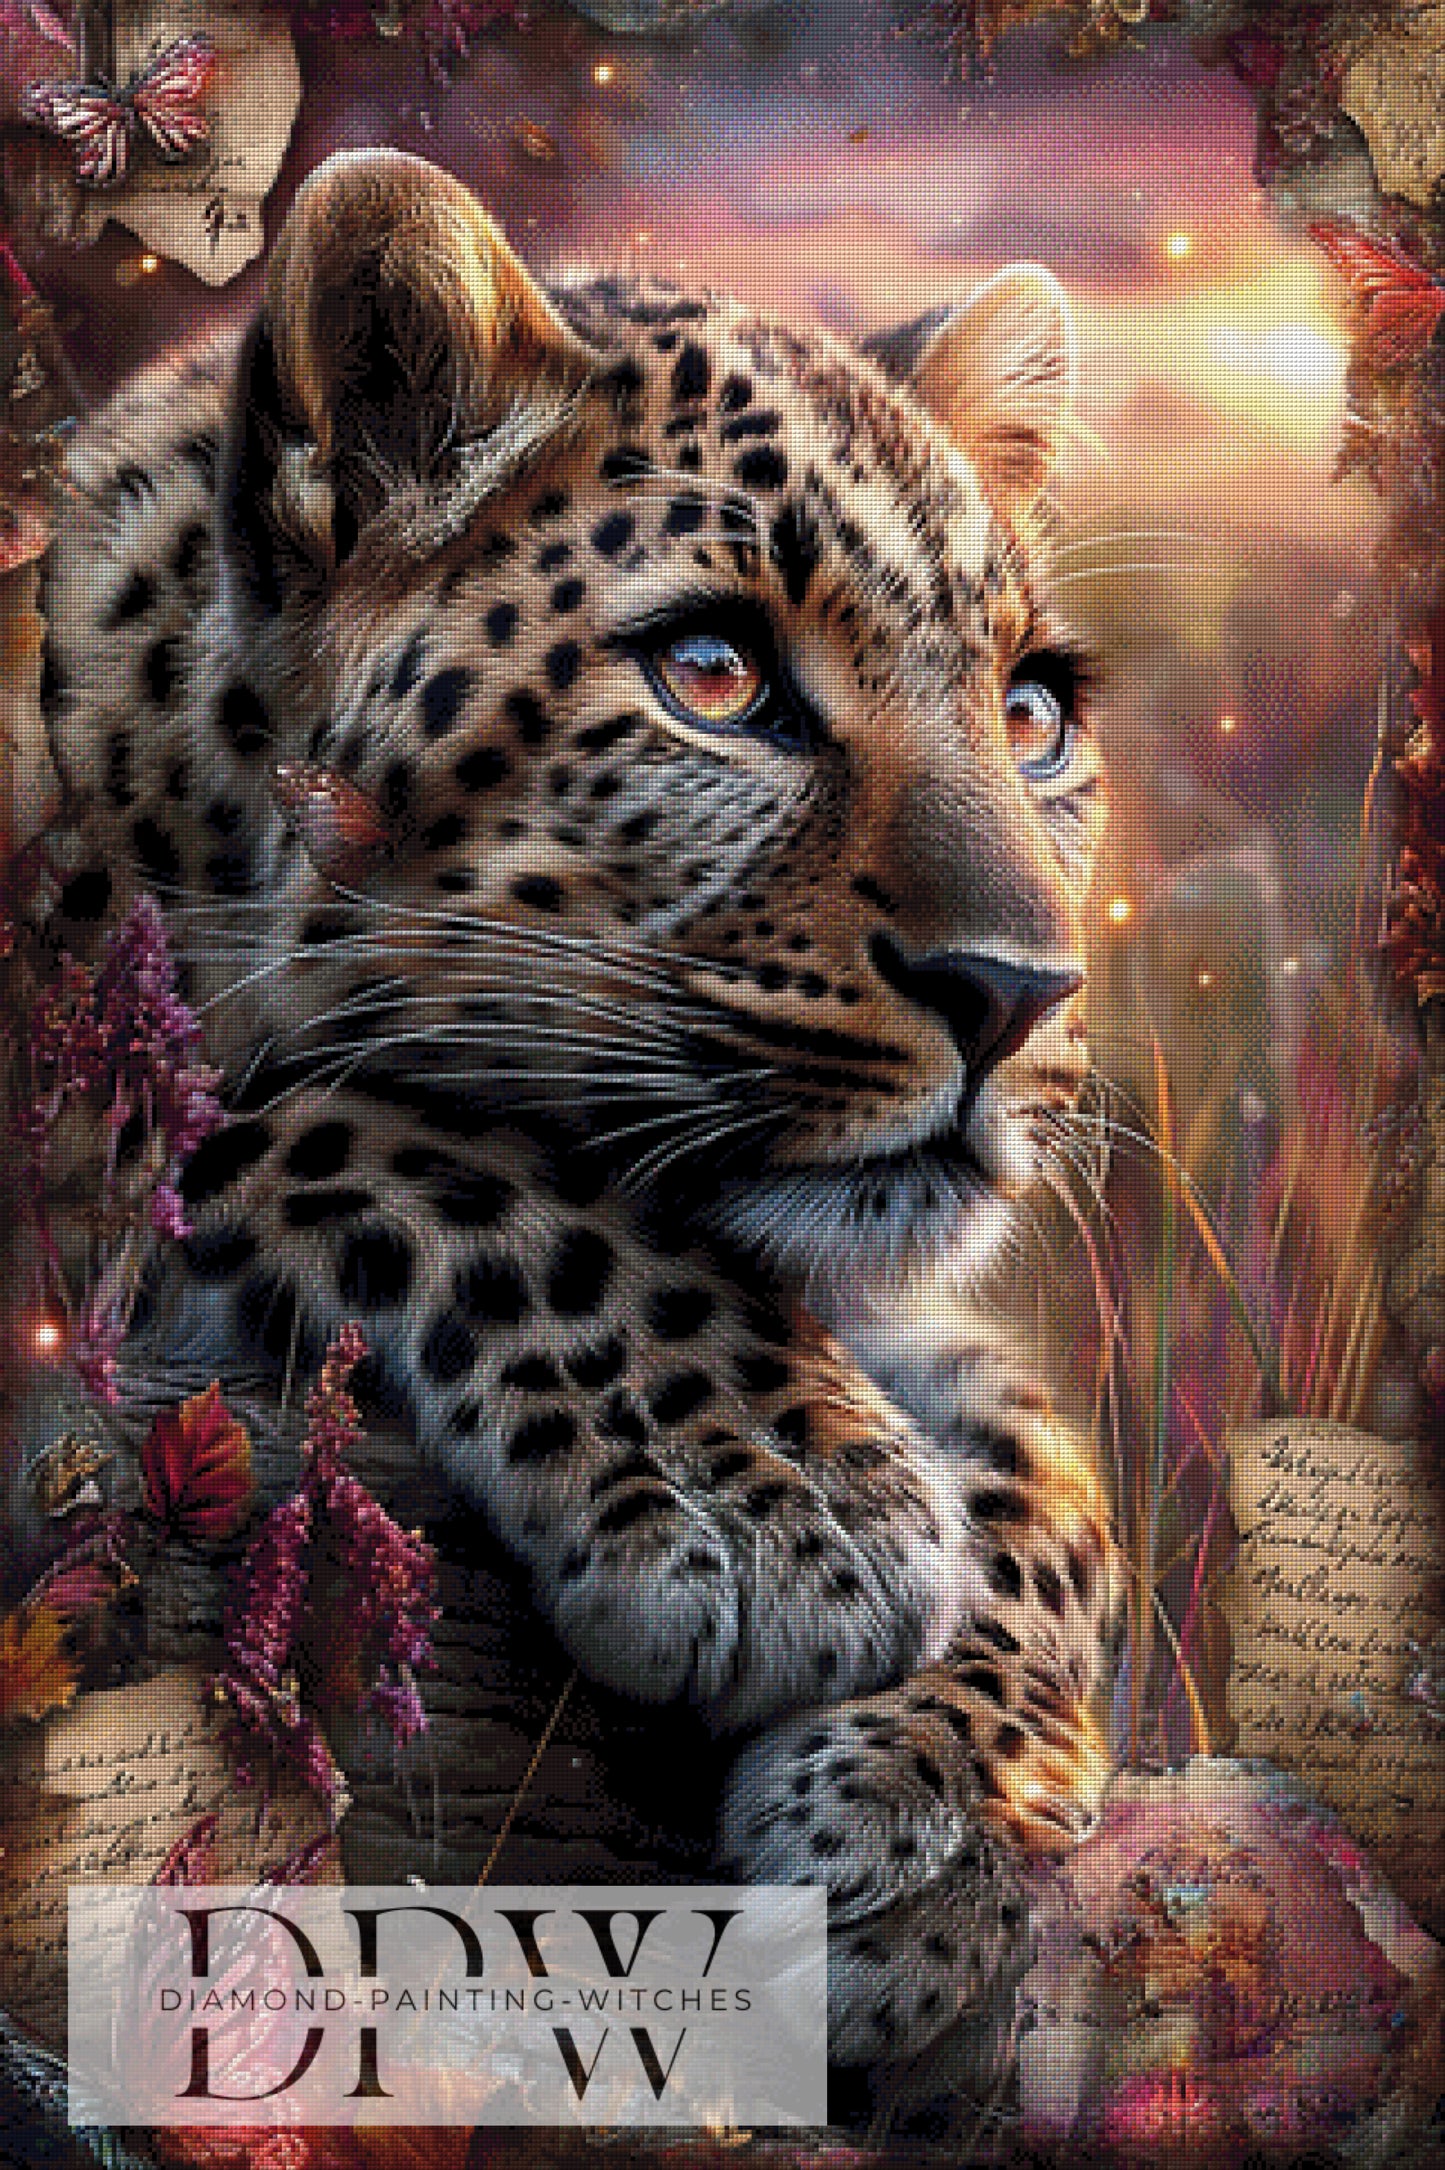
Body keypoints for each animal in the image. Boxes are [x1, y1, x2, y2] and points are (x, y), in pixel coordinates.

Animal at [37, 149, 1121, 2085]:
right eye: (712, 673)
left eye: (1032, 714)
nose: (1019, 993)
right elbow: (369, 1128)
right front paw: (772, 1495)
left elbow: (1046, 1463)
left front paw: (926, 1817)